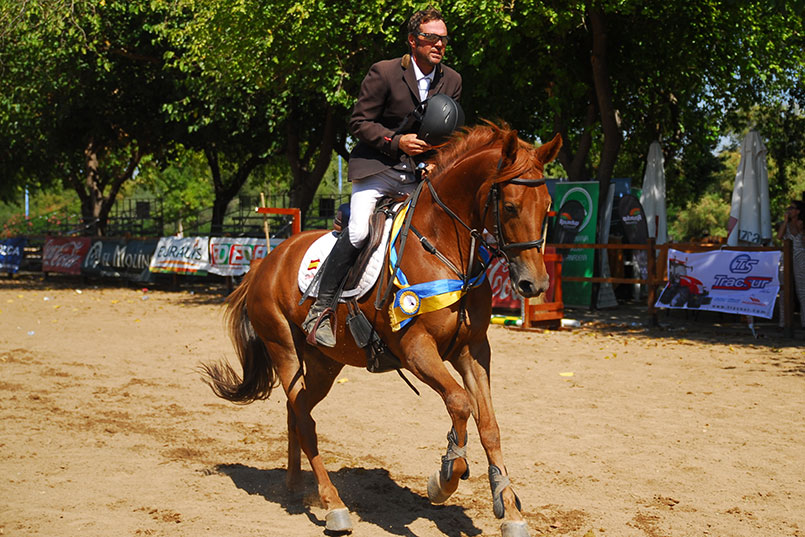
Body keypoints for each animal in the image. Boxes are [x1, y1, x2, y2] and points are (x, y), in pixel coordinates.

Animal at [204, 123, 564, 532]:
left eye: (546, 206)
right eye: (510, 206)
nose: (534, 285)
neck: (443, 248)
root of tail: (265, 262)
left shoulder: (472, 349)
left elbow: (489, 424)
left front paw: (510, 510)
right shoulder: (416, 348)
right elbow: (459, 402)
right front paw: (444, 478)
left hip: (326, 363)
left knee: (298, 410)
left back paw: (295, 486)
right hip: (284, 349)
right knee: (304, 417)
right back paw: (334, 506)